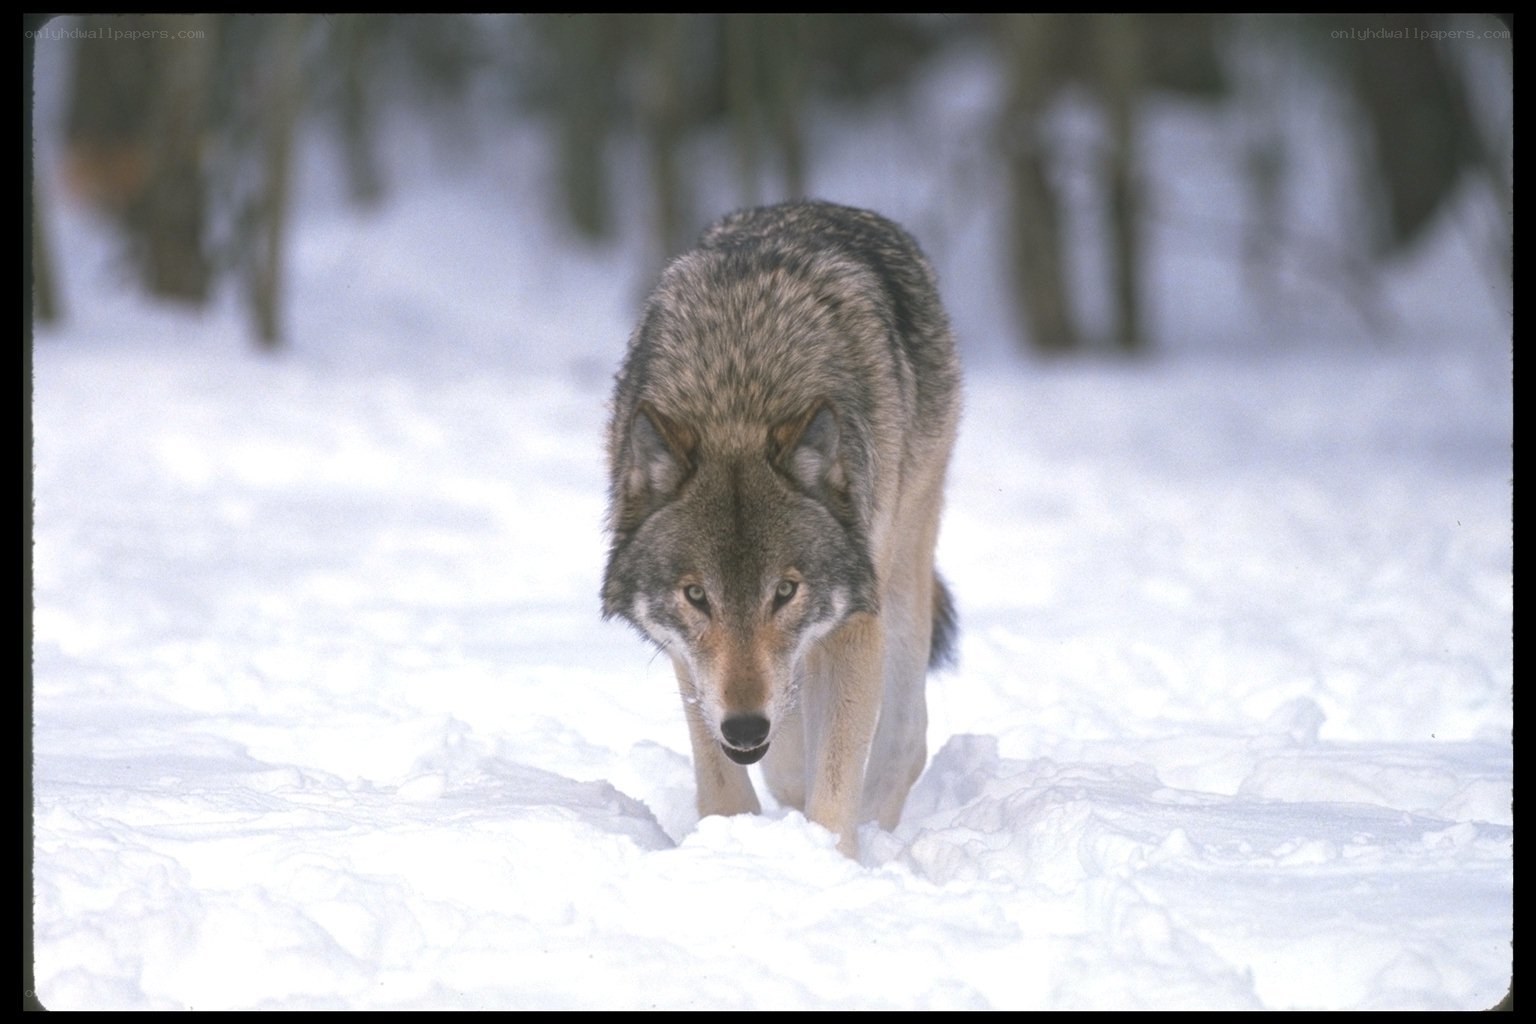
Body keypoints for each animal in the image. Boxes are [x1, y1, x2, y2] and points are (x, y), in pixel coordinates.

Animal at [601, 200, 961, 856]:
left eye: (786, 591)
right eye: (697, 595)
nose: (746, 726)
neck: (739, 391)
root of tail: (821, 205)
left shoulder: (854, 621)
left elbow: (833, 786)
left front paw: (823, 861)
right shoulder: (691, 661)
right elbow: (728, 783)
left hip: (902, 566)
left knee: (904, 740)